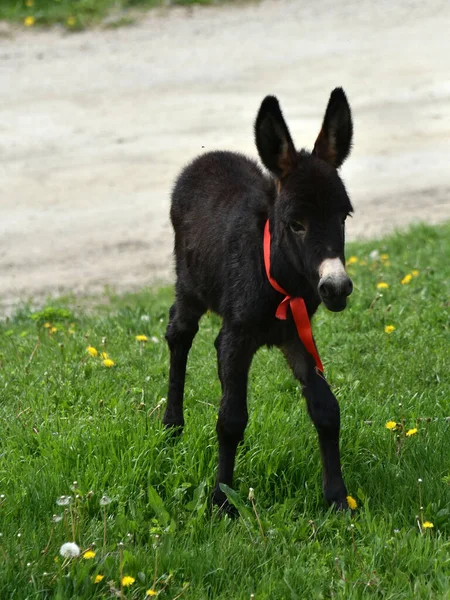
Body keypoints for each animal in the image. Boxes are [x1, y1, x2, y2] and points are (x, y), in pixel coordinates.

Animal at [163, 88, 354, 510]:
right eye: (295, 224)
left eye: (344, 216)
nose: (336, 288)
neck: (278, 281)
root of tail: (208, 157)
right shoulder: (237, 337)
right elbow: (230, 419)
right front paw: (221, 501)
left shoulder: (295, 334)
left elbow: (326, 409)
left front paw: (336, 497)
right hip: (190, 287)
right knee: (178, 334)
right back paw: (171, 427)